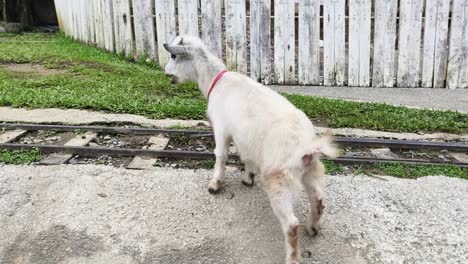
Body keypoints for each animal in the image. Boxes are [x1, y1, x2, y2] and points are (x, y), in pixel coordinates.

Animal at [163, 35, 338, 264]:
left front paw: (215, 184)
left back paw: (293, 256)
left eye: (174, 56)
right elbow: (245, 156)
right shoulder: (244, 137)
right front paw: (248, 178)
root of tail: (307, 145)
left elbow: (221, 155)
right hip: (310, 170)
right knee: (318, 199)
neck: (215, 81)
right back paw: (313, 228)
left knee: (291, 224)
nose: (165, 72)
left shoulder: (222, 128)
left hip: (278, 178)